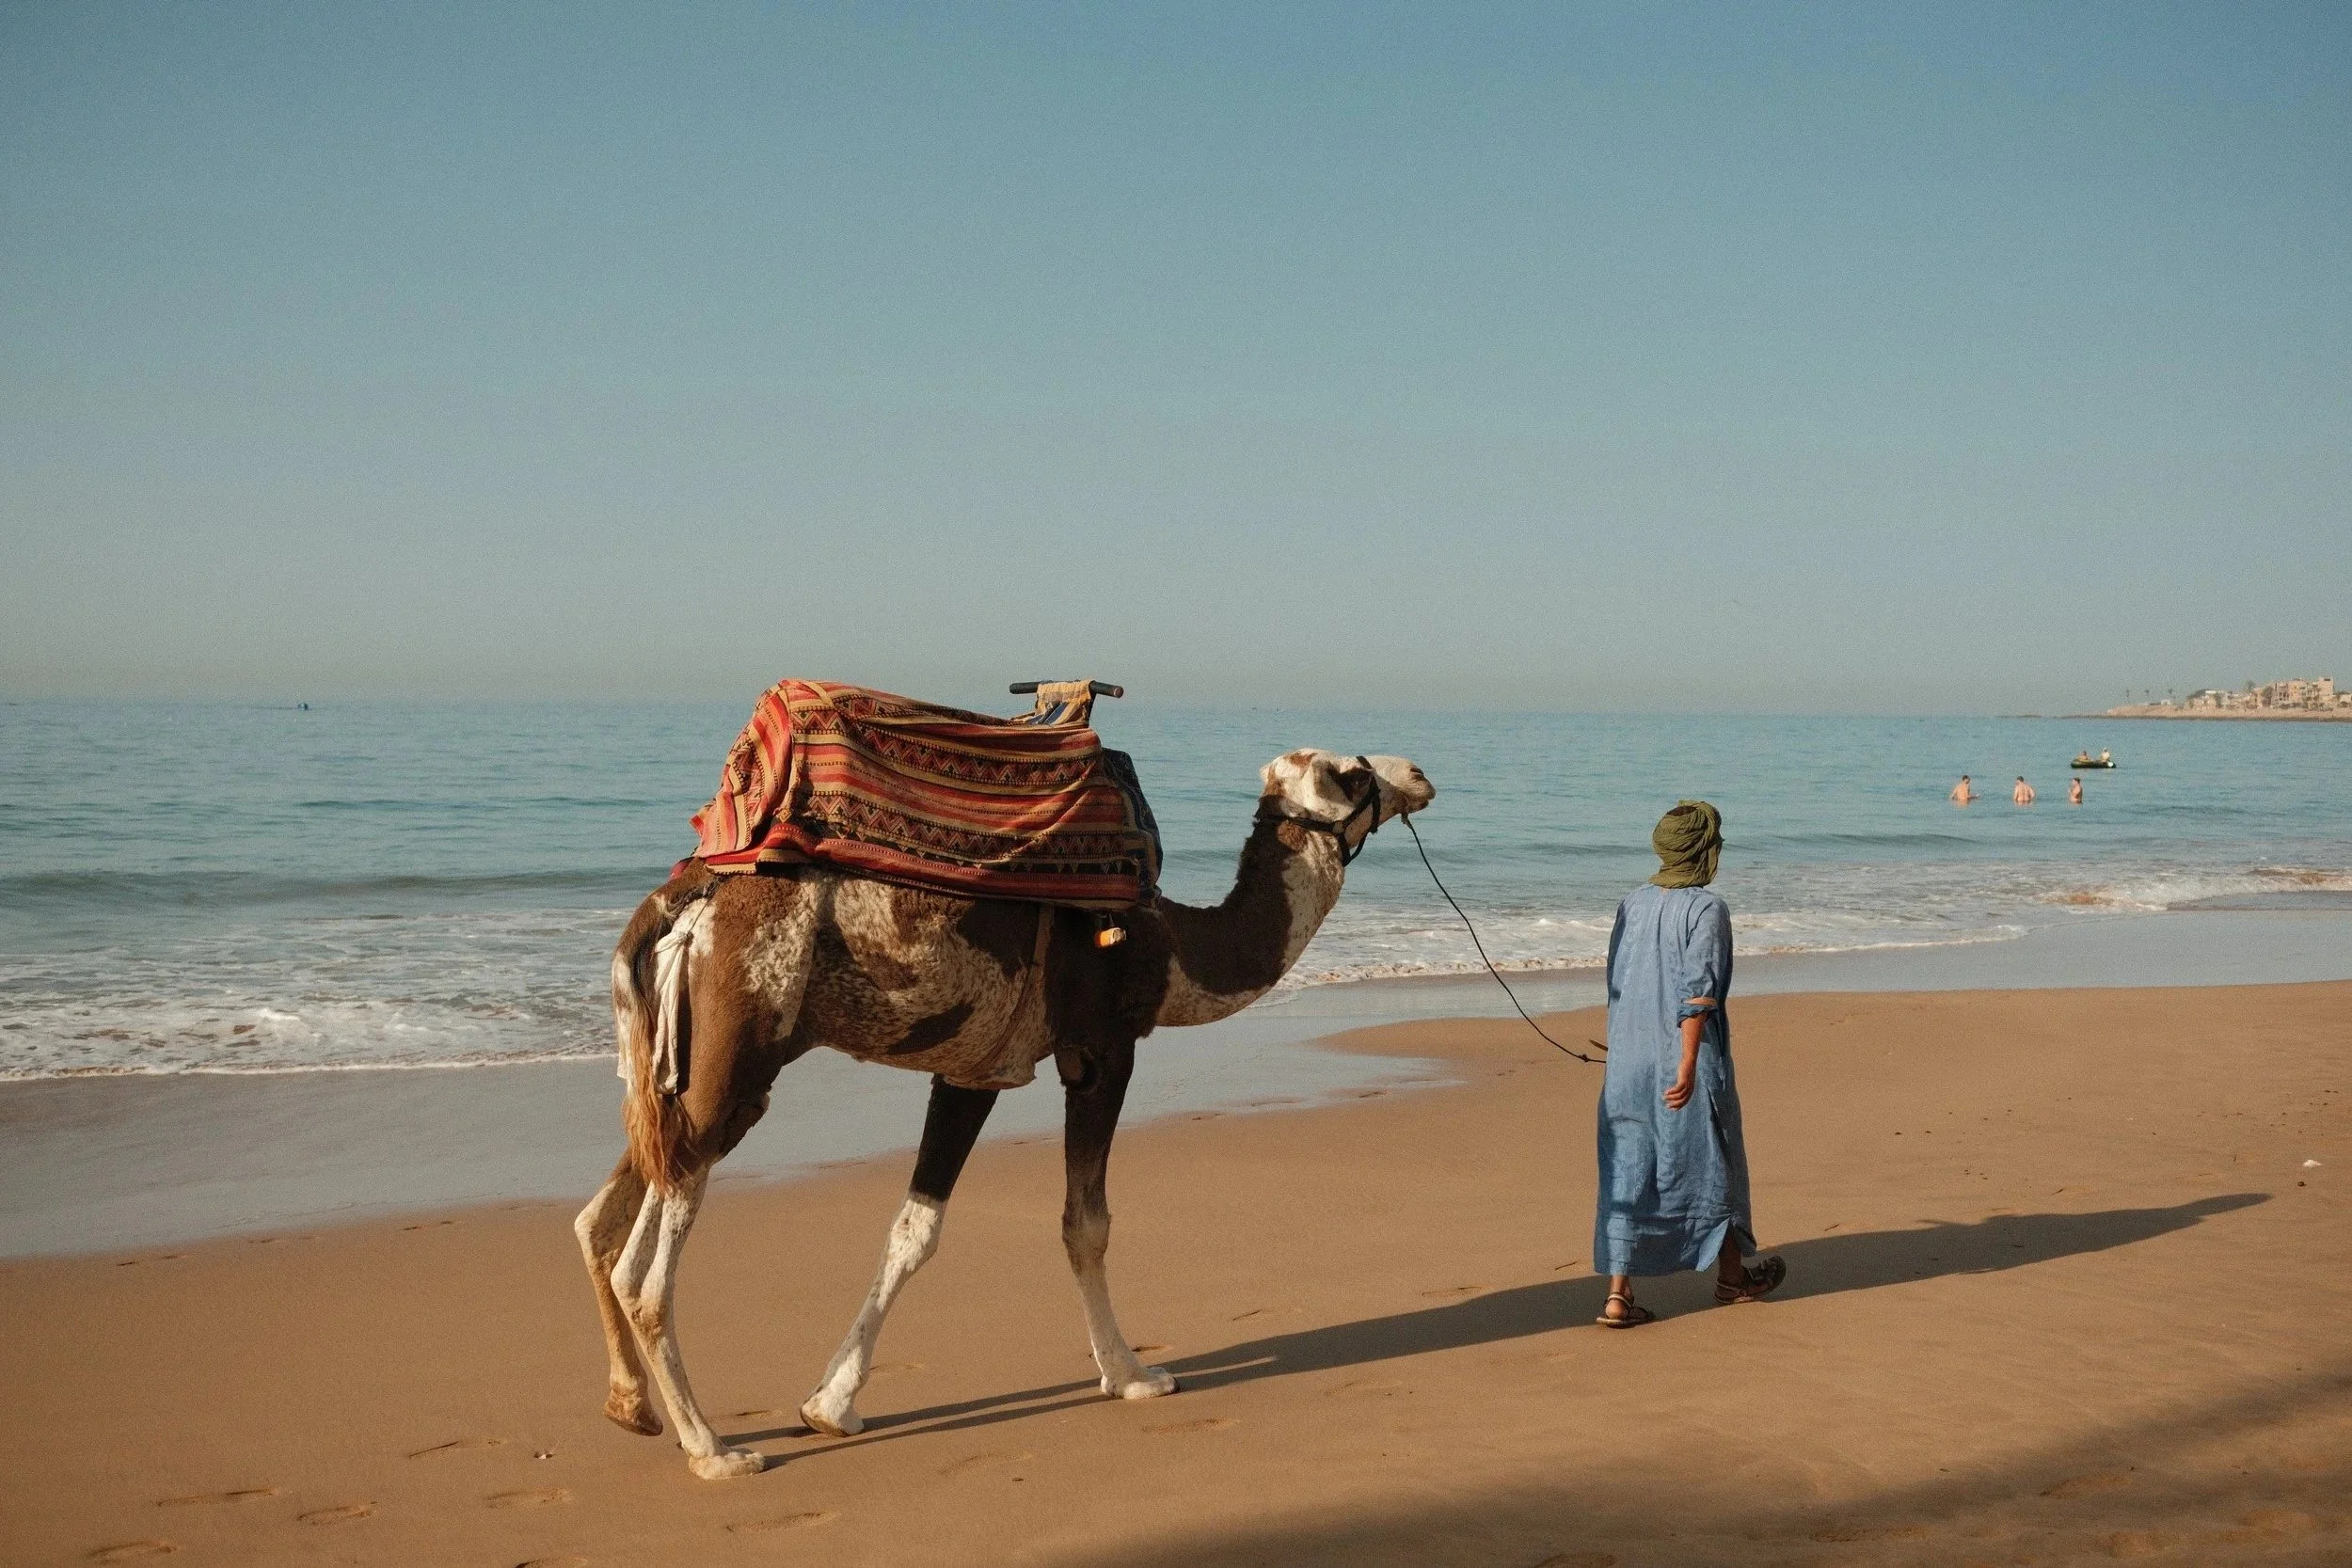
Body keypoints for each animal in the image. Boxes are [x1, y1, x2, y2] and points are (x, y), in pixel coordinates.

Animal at [574, 747, 1434, 1478]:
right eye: (1352, 772)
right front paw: (1131, 1372)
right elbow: (1082, 1224)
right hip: (734, 1056)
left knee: (597, 1217)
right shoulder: (1098, 1050)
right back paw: (714, 1450)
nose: (1419, 774)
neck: (1167, 948)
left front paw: (830, 1403)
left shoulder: (975, 1064)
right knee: (644, 1273)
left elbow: (914, 1228)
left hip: (671, 1075)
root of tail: (681, 899)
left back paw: (631, 1407)